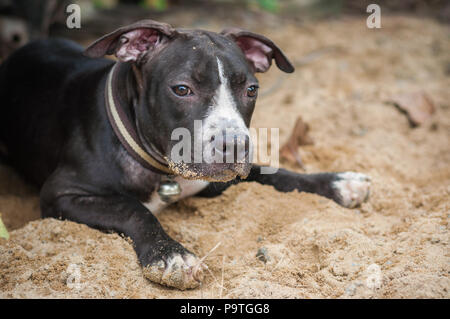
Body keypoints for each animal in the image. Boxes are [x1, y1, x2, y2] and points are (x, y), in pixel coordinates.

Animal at [0, 20, 370, 290]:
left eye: (251, 90)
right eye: (182, 89)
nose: (236, 144)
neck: (163, 169)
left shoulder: (220, 180)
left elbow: (278, 174)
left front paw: (339, 182)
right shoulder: (60, 194)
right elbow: (132, 209)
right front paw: (172, 256)